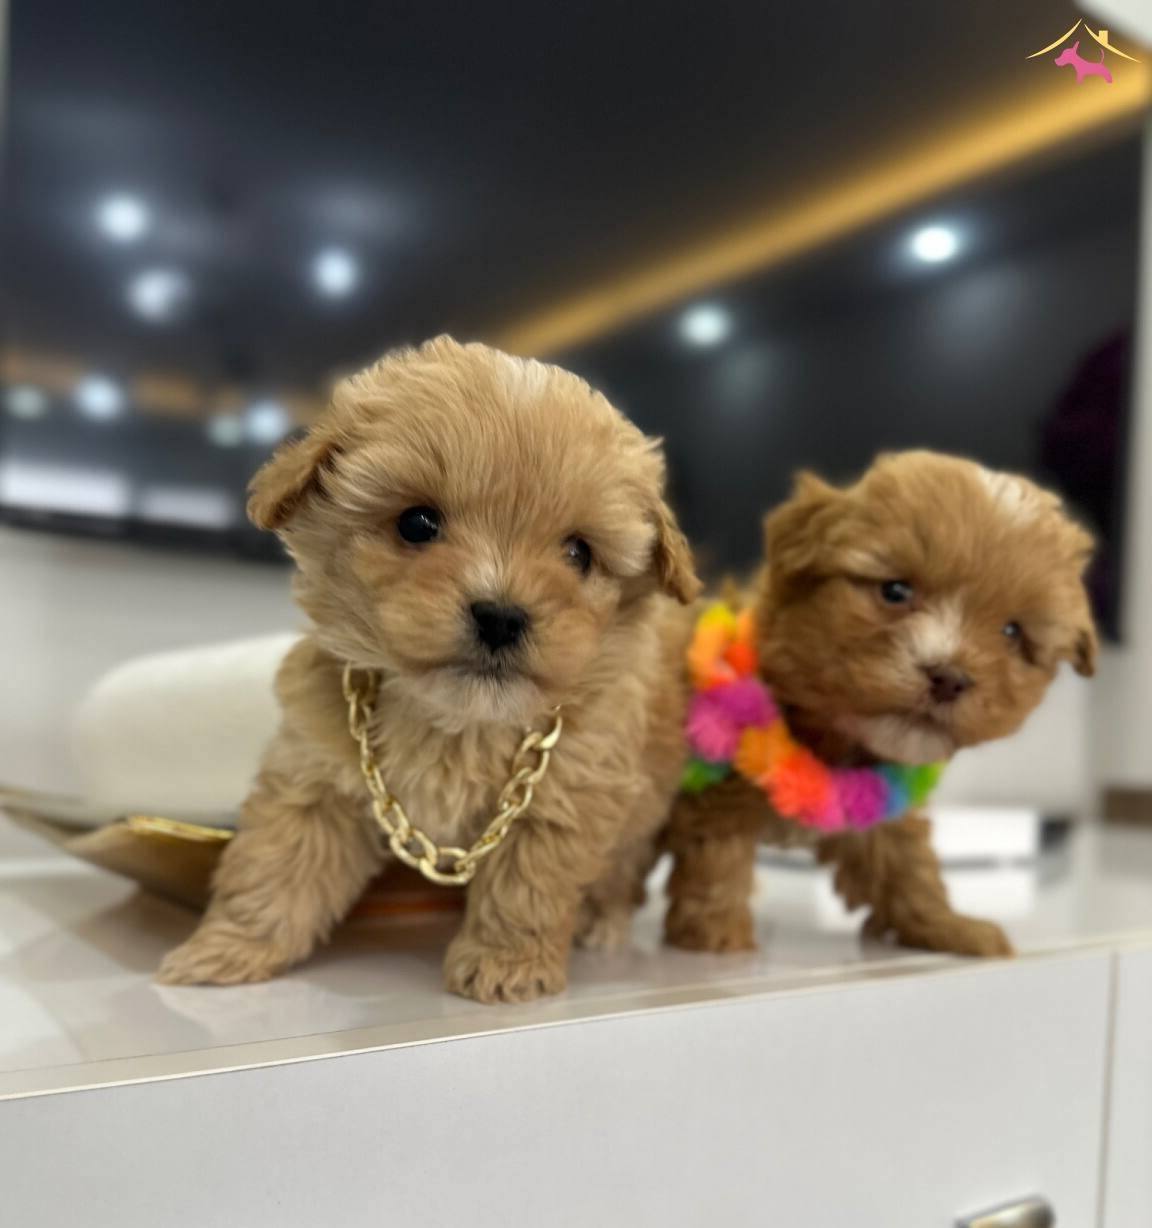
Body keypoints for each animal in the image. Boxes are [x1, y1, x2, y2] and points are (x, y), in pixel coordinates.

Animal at [158, 337, 700, 1002]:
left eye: (579, 553)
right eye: (417, 523)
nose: (500, 616)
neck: (455, 721)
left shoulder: (568, 790)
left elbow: (526, 885)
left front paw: (505, 966)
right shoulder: (315, 774)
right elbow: (277, 862)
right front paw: (227, 949)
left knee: (624, 869)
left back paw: (604, 921)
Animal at [664, 451, 1096, 958]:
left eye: (1012, 632)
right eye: (894, 591)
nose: (949, 677)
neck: (825, 736)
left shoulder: (879, 806)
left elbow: (907, 865)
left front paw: (948, 926)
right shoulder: (719, 793)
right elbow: (719, 855)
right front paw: (718, 937)